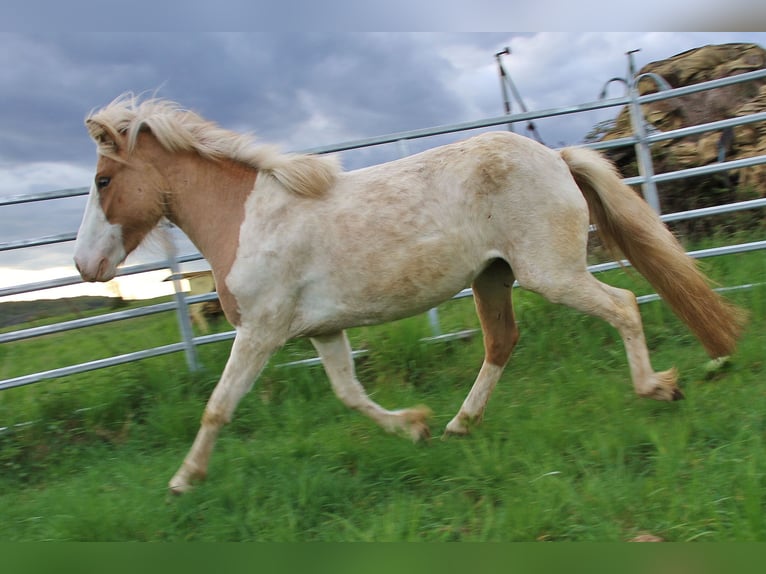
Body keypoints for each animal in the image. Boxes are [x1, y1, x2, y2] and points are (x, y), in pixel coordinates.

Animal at [73, 95, 744, 493]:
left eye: (104, 181)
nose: (85, 264)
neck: (249, 219)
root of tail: (554, 155)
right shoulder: (321, 331)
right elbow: (350, 394)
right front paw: (414, 427)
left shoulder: (260, 331)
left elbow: (218, 405)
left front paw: (184, 480)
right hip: (492, 277)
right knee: (501, 343)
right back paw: (457, 425)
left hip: (550, 273)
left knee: (622, 306)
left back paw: (658, 388)